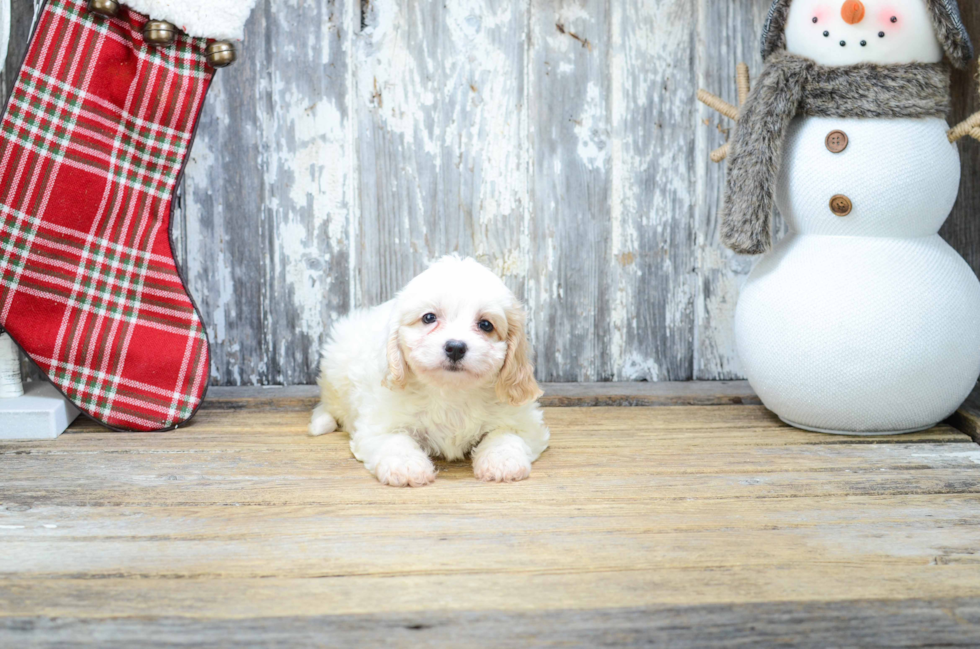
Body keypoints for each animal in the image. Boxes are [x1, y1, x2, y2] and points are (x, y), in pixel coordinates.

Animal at [310, 256, 548, 484]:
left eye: (486, 325)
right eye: (429, 318)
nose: (455, 347)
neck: (451, 391)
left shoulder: (523, 421)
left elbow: (506, 435)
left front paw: (503, 461)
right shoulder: (379, 424)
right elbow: (395, 440)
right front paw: (406, 466)